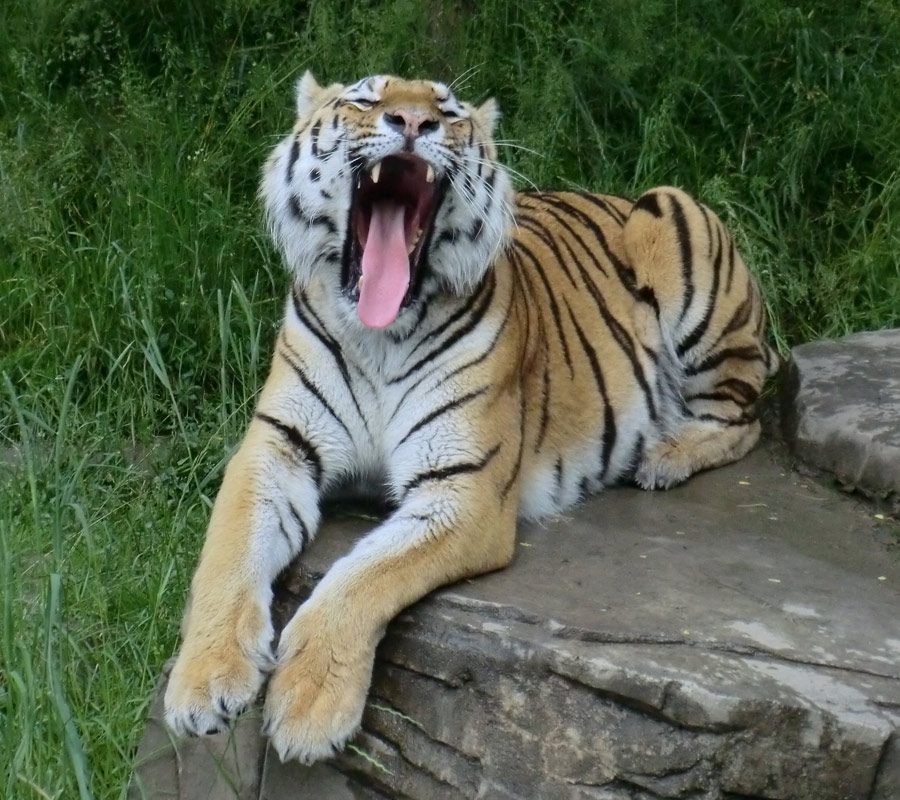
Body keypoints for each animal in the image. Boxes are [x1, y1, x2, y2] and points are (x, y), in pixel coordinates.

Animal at [163, 73, 780, 764]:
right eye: (366, 98)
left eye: (448, 109)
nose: (413, 123)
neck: (379, 334)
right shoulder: (277, 448)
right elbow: (228, 556)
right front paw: (203, 683)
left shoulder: (463, 488)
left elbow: (362, 576)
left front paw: (308, 706)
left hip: (673, 220)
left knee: (744, 418)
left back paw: (664, 455)